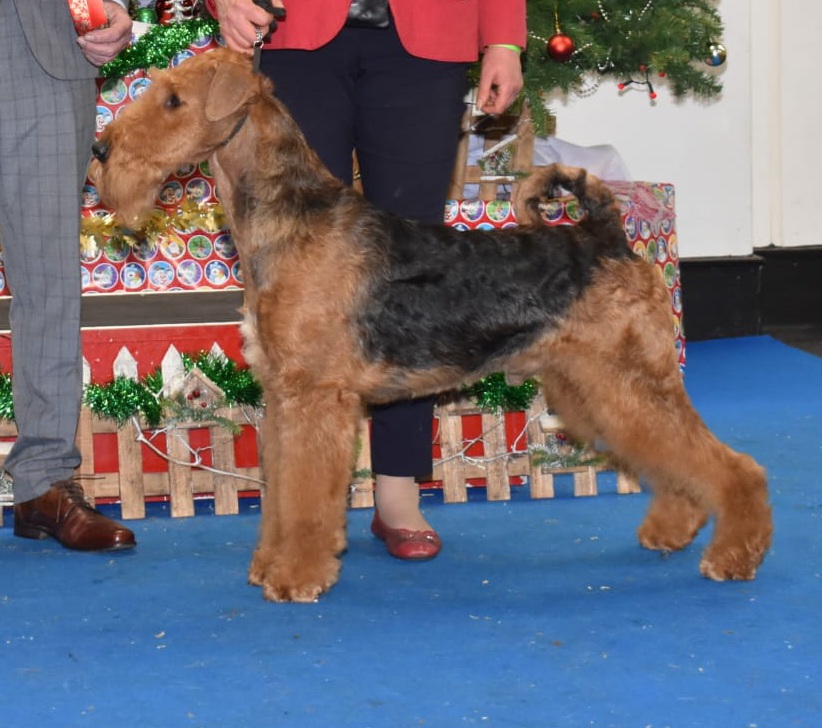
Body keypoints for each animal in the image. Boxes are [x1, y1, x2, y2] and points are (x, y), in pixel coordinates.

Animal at [90, 48, 772, 600]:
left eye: (174, 99)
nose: (100, 153)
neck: (292, 218)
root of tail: (605, 234)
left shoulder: (315, 398)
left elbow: (307, 499)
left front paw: (296, 578)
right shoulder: (285, 397)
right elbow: (281, 491)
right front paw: (269, 566)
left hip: (627, 380)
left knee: (732, 465)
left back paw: (734, 557)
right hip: (594, 388)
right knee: (678, 465)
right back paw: (673, 532)